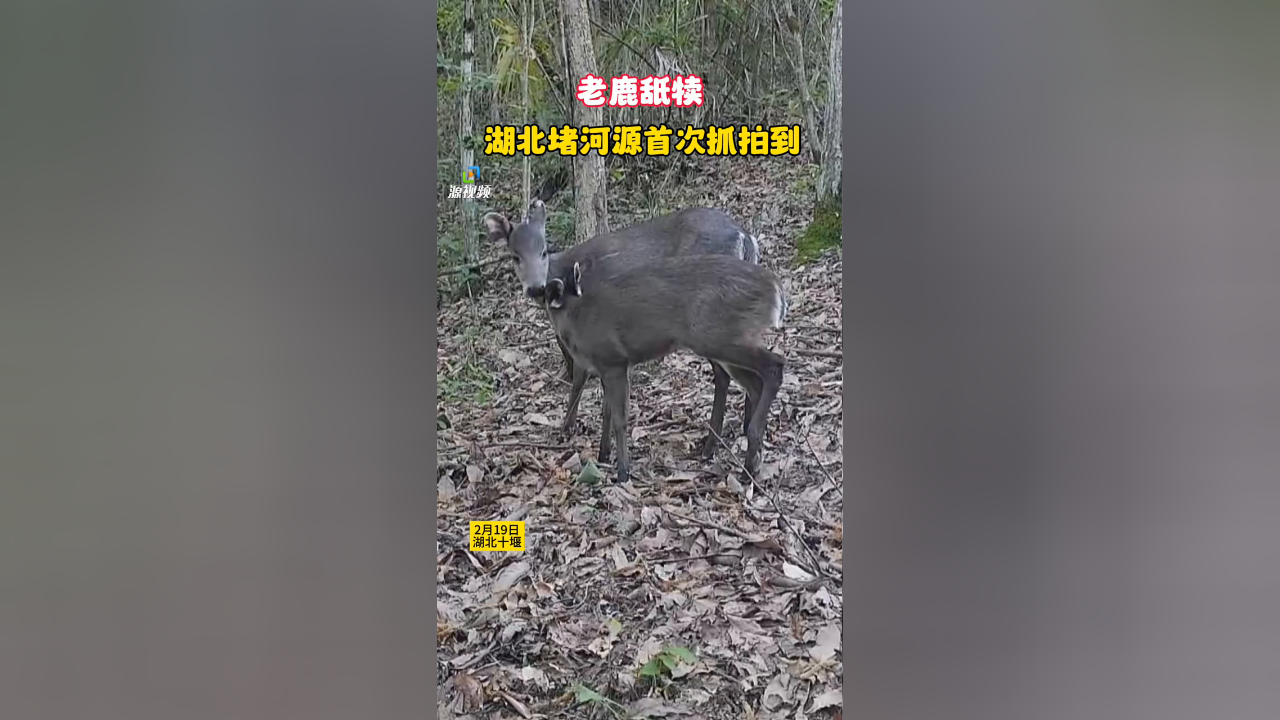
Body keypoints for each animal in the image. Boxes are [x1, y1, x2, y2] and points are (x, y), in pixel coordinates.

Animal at [482, 199, 763, 458]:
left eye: (543, 252)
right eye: (515, 256)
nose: (536, 288)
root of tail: (744, 236)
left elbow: (584, 381)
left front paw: (578, 435)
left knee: (723, 374)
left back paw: (710, 445)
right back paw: (744, 427)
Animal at [542, 254, 788, 482]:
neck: (578, 319)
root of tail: (775, 287)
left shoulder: (615, 361)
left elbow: (620, 418)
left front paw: (623, 472)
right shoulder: (605, 367)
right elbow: (606, 412)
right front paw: (604, 455)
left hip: (717, 336)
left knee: (775, 365)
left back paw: (749, 456)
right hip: (726, 339)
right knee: (755, 383)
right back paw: (752, 459)